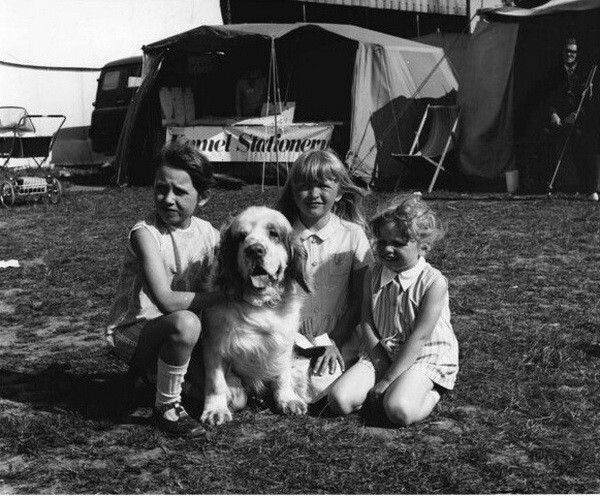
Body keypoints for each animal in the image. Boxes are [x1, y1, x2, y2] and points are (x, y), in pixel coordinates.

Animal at [202, 206, 312, 426]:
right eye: (241, 237)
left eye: (274, 234)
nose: (254, 250)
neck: (260, 305)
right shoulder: (214, 345)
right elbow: (216, 382)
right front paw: (215, 410)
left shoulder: (284, 343)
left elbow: (282, 374)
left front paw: (287, 399)